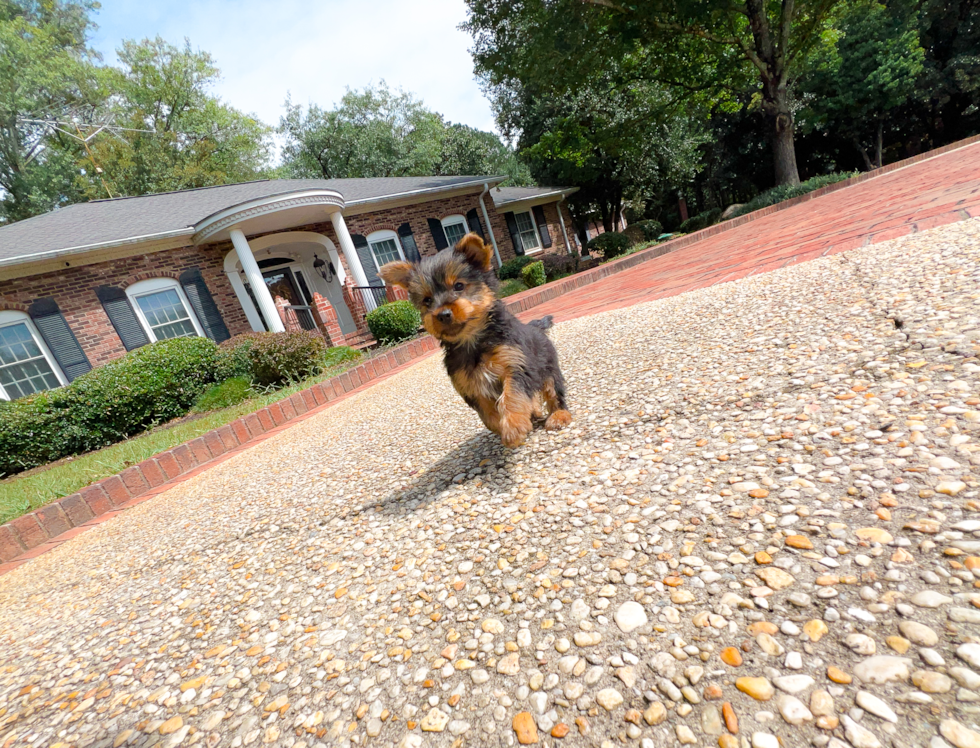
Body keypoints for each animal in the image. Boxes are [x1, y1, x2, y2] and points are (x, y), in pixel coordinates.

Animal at [378, 234, 572, 448]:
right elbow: (487, 414)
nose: (442, 314)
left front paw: (513, 427)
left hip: (548, 367)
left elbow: (512, 396)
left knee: (554, 390)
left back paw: (559, 415)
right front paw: (503, 425)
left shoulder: (515, 363)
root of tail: (535, 327)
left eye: (459, 286)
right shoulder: (470, 384)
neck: (473, 341)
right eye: (427, 300)